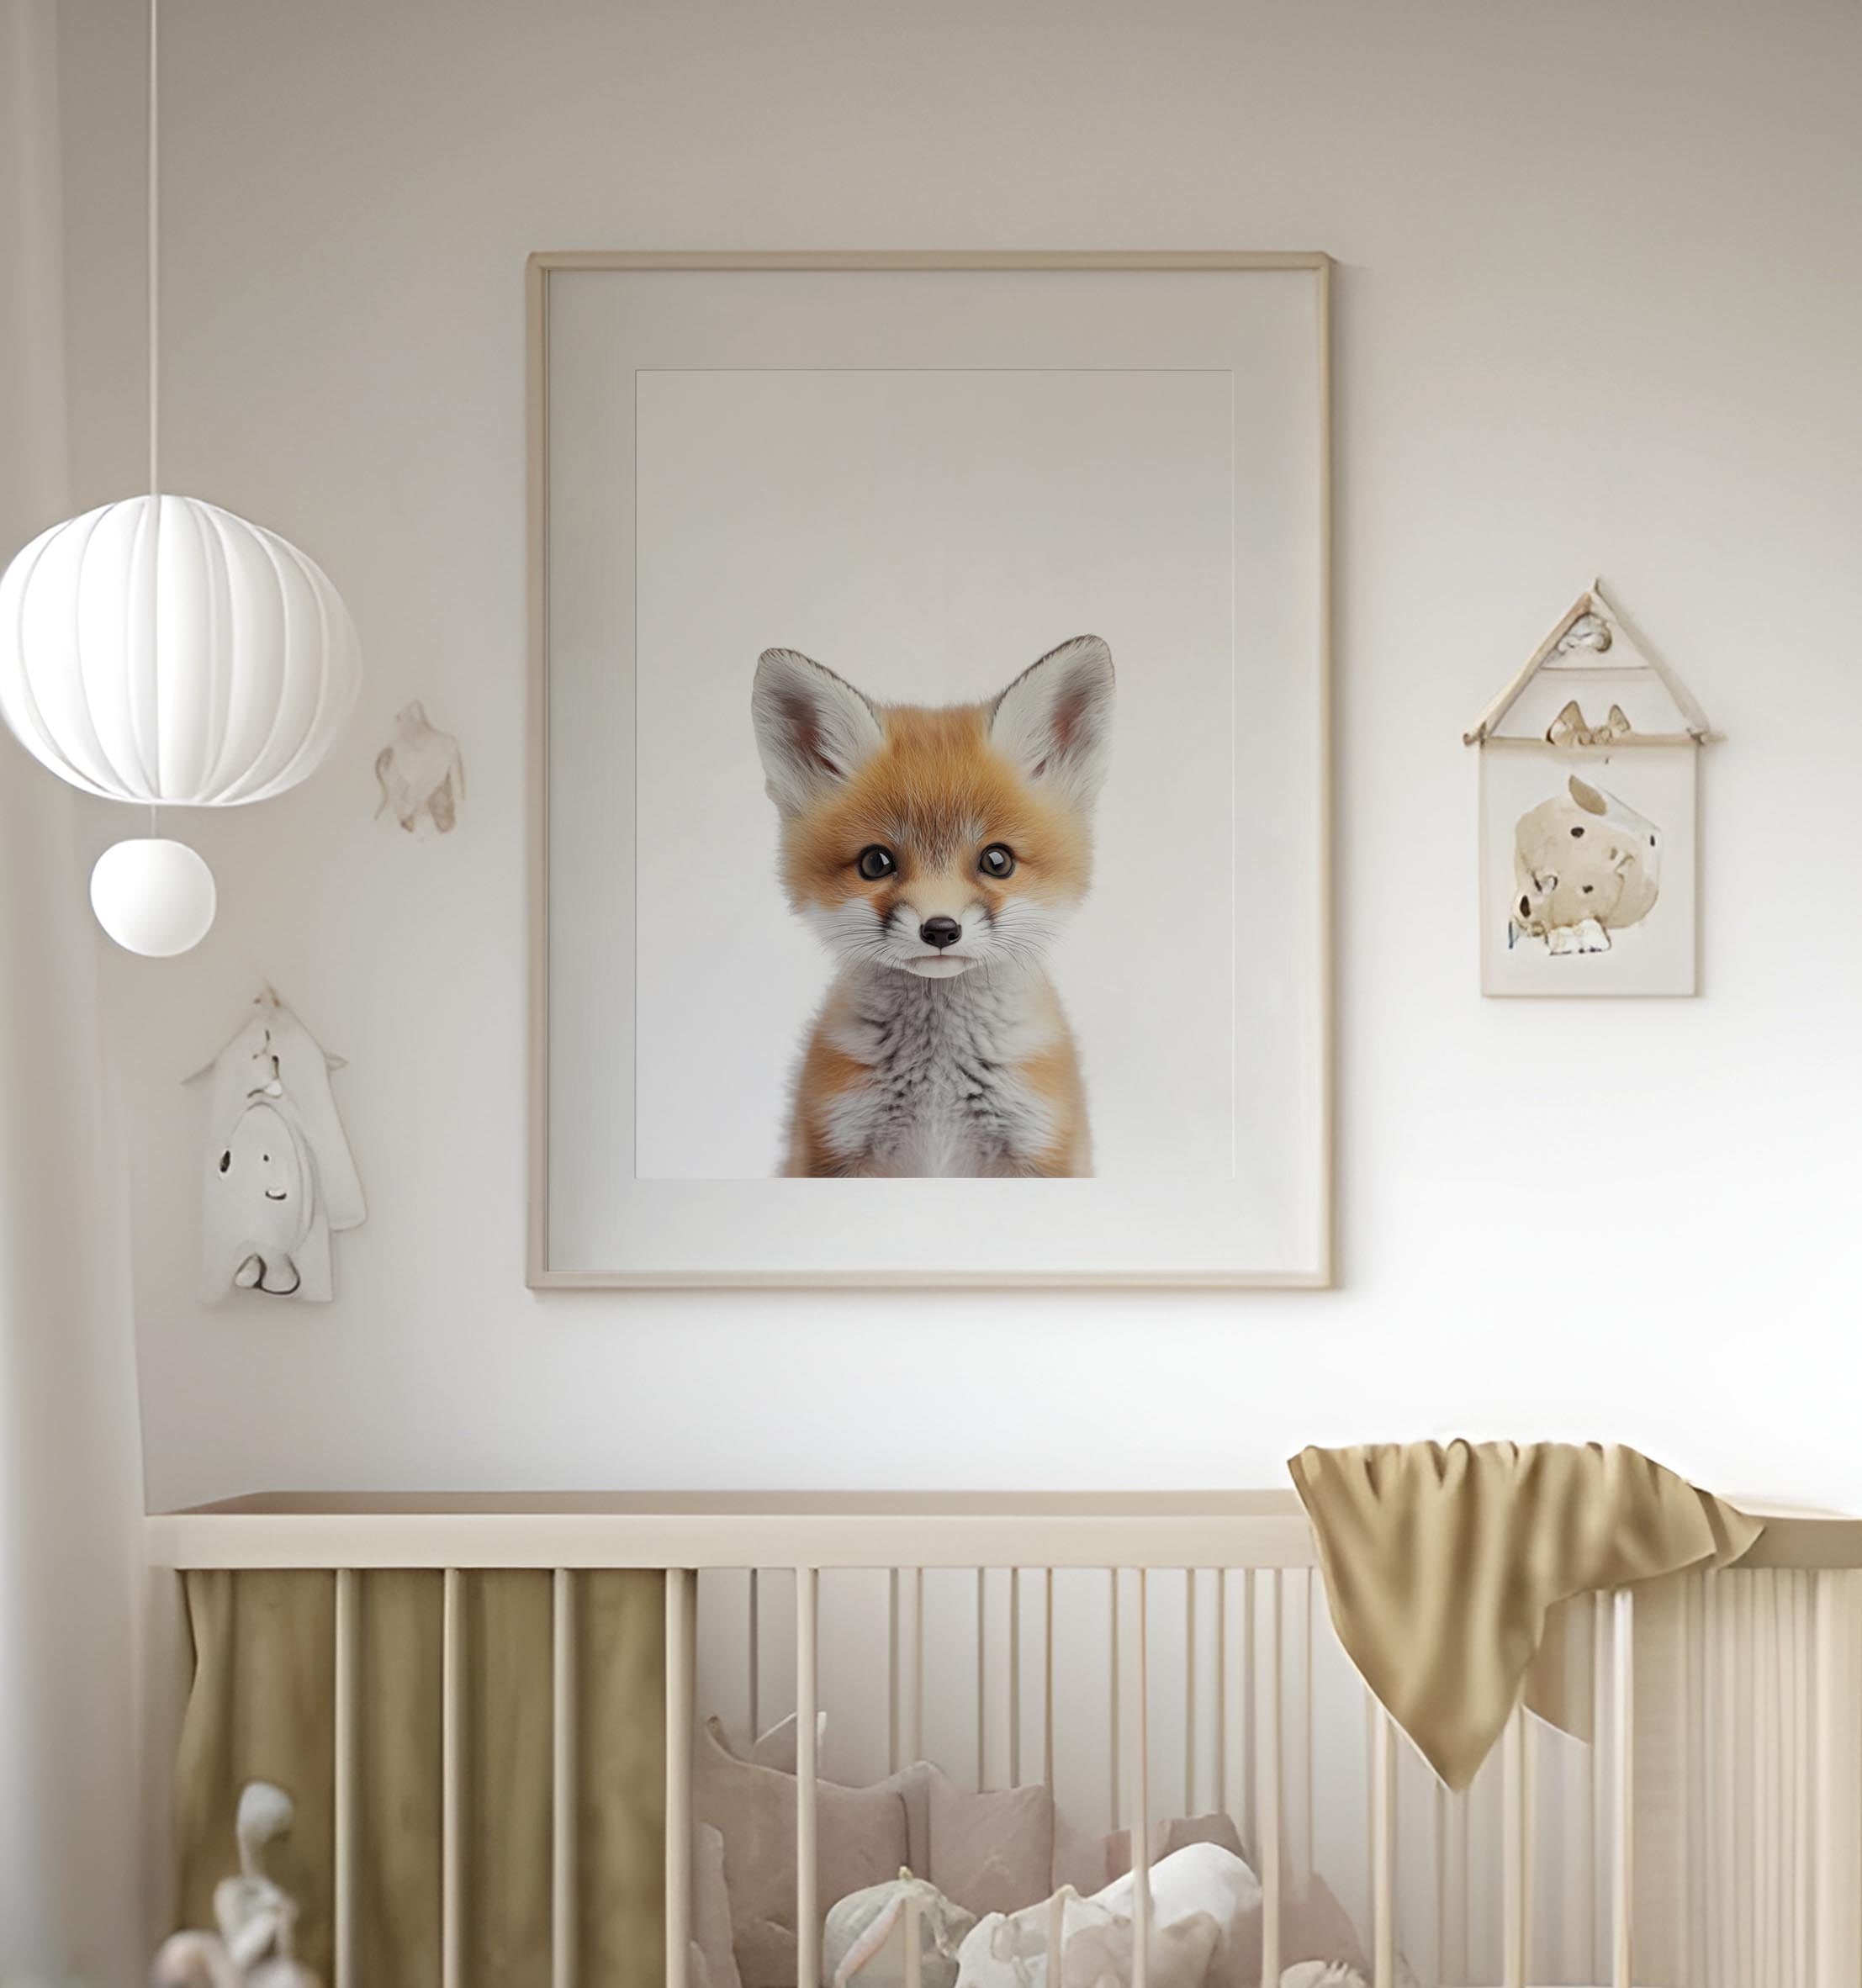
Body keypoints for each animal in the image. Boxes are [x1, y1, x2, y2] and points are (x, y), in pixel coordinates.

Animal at [751, 634, 1115, 1178]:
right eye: (876, 862)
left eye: (997, 860)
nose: (941, 930)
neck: (938, 1082)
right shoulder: (832, 1150)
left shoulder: (1040, 1150)